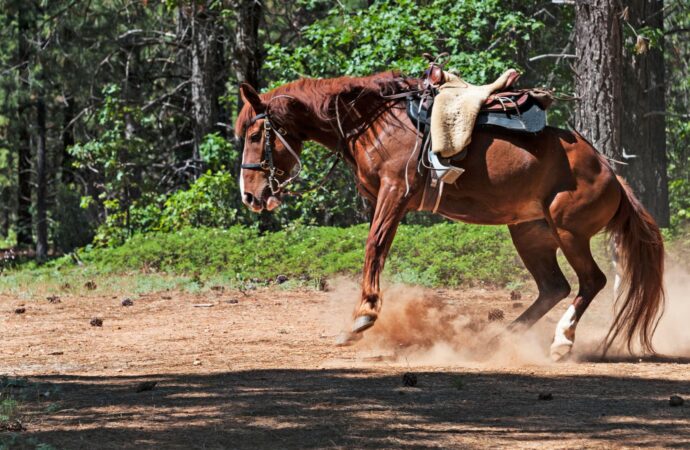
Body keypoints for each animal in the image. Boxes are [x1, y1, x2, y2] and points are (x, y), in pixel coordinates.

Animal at [235, 70, 660, 360]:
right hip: (529, 232)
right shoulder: (381, 200)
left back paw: (561, 341)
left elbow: (375, 247)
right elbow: (375, 248)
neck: (371, 121)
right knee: (554, 287)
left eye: (256, 136)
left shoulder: (395, 193)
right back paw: (496, 340)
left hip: (569, 233)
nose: (250, 195)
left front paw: (362, 318)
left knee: (591, 281)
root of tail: (611, 174)